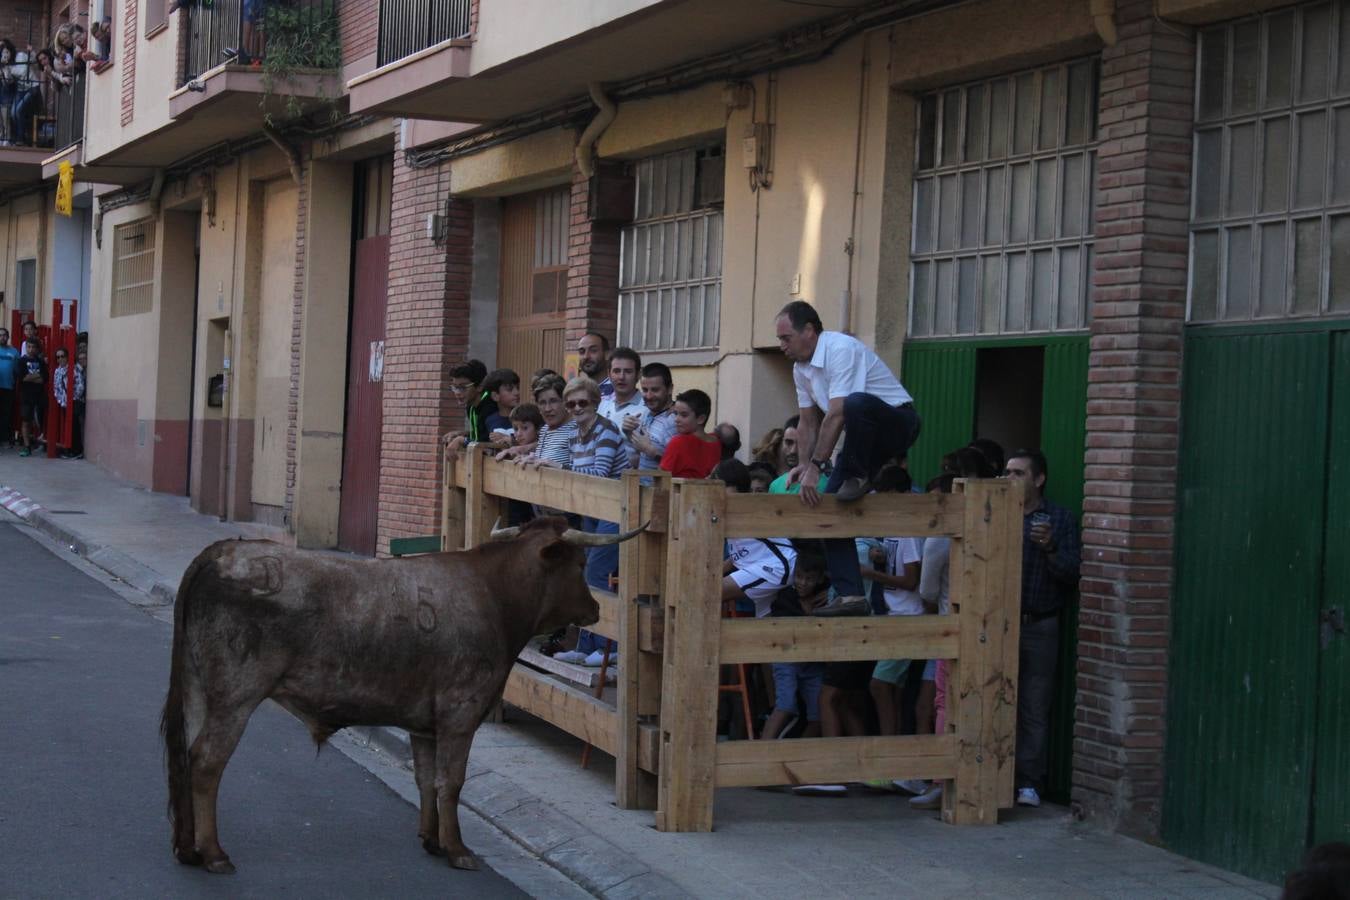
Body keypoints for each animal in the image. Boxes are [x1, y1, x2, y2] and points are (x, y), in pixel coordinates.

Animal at [159, 518, 637, 874]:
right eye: (579, 563)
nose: (596, 609)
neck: (494, 597)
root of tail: (225, 550)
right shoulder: (461, 713)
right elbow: (451, 781)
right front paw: (459, 850)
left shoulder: (425, 723)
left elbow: (425, 778)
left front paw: (432, 840)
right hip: (235, 695)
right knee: (206, 762)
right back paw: (214, 854)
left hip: (199, 688)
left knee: (185, 754)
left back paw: (188, 849)